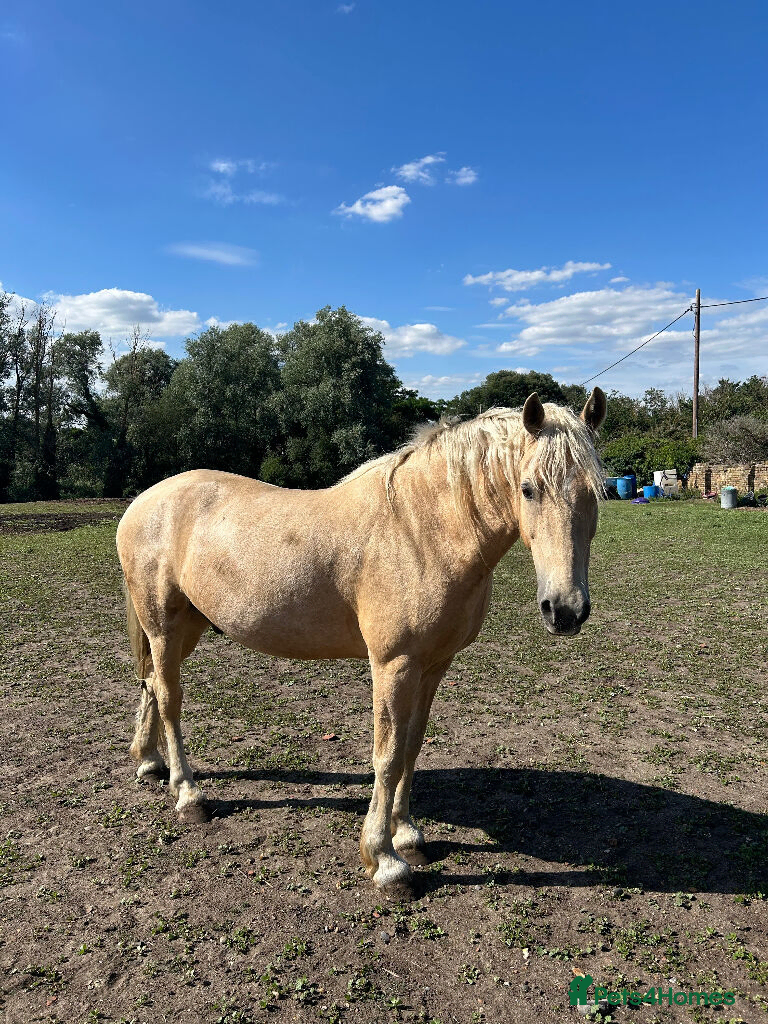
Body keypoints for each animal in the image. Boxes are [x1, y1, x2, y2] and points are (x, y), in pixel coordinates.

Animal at [116, 387, 606, 896]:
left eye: (597, 491)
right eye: (528, 489)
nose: (565, 610)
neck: (421, 531)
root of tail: (144, 501)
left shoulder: (434, 665)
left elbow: (411, 747)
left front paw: (407, 835)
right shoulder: (394, 664)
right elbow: (387, 756)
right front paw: (386, 861)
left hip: (186, 628)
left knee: (151, 685)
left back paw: (149, 763)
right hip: (163, 626)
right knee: (169, 699)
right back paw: (188, 794)